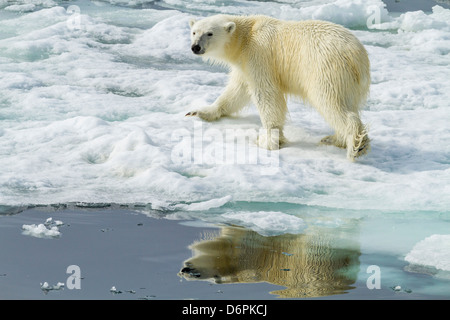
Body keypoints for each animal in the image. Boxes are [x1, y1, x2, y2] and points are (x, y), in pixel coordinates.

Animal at [185, 14, 370, 160]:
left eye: (209, 33)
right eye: (194, 32)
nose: (196, 47)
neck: (246, 36)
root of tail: (357, 56)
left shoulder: (259, 55)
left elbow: (266, 94)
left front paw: (268, 141)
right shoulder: (244, 64)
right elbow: (237, 91)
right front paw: (199, 112)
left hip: (326, 69)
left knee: (330, 102)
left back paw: (356, 145)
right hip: (351, 82)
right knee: (347, 104)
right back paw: (334, 139)